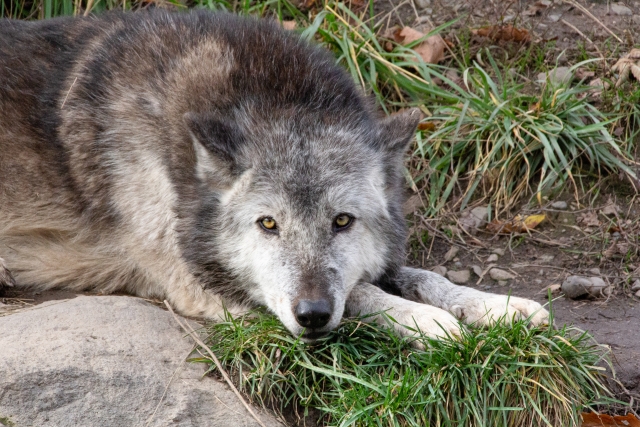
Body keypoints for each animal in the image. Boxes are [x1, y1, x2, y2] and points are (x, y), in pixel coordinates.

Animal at [0, 10, 548, 342]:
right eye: (268, 224)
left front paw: (497, 307)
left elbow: (418, 274)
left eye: (343, 222)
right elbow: (364, 292)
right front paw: (428, 320)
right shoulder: (195, 281)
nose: (313, 316)